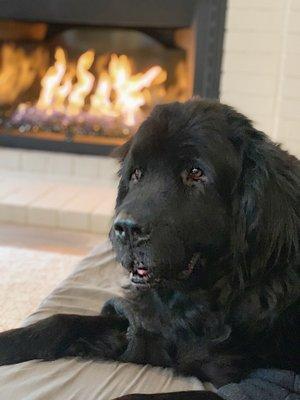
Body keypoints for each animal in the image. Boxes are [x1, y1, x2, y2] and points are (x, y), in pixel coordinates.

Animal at [0, 97, 300, 400]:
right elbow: (62, 322)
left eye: (195, 173)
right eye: (136, 174)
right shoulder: (145, 329)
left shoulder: (257, 382)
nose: (126, 229)